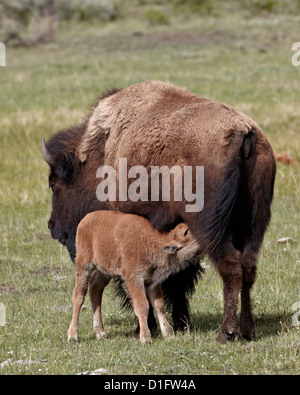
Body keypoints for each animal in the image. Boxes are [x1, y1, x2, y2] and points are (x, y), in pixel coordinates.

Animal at [67, 212, 200, 344]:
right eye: (186, 232)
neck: (152, 242)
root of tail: (85, 219)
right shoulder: (134, 280)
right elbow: (142, 305)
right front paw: (145, 338)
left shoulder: (153, 282)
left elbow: (159, 305)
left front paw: (168, 334)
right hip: (84, 265)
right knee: (79, 295)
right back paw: (73, 336)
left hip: (105, 271)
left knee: (95, 288)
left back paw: (101, 333)